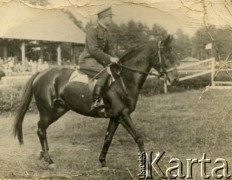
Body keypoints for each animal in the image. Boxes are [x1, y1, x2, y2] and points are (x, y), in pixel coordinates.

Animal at [13, 34, 179, 167]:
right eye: (166, 55)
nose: (174, 78)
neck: (124, 79)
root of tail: (41, 73)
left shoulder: (115, 117)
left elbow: (108, 138)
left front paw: (103, 162)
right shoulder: (123, 114)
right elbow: (138, 137)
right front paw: (147, 166)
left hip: (58, 110)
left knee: (42, 128)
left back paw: (43, 154)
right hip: (48, 110)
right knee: (41, 129)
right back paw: (49, 160)